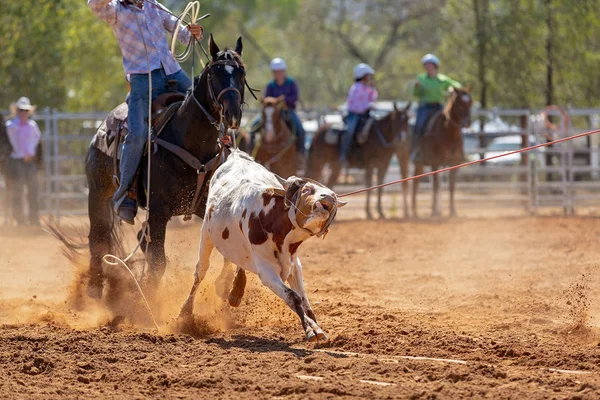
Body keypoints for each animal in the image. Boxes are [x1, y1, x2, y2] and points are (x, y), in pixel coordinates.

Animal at [82, 36, 246, 298]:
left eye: (241, 72)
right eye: (215, 73)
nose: (232, 113)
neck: (191, 144)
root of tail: (103, 127)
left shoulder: (208, 207)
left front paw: (229, 288)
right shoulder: (159, 212)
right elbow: (158, 262)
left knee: (139, 237)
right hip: (98, 191)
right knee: (99, 236)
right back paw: (95, 288)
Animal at [180, 149, 344, 340]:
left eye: (333, 195)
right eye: (307, 189)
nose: (329, 197)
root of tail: (235, 155)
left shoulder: (294, 265)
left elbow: (304, 301)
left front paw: (316, 327)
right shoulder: (267, 271)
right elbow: (294, 297)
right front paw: (311, 330)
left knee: (235, 261)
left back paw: (235, 291)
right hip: (206, 234)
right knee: (200, 271)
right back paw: (186, 311)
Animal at [414, 86, 472, 217]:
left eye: (471, 102)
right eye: (459, 103)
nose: (467, 123)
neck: (448, 134)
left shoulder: (454, 164)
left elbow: (451, 186)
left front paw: (452, 211)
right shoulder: (435, 162)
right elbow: (435, 186)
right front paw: (434, 212)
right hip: (417, 163)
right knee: (416, 183)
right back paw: (413, 211)